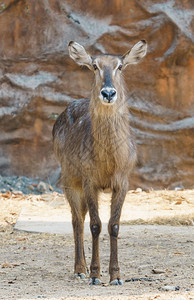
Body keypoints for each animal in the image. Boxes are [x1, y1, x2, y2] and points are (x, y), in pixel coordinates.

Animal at [52, 38, 147, 284]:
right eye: (94, 66)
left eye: (120, 66)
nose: (108, 93)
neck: (108, 162)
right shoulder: (90, 181)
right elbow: (95, 225)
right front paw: (95, 275)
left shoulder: (123, 182)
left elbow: (114, 225)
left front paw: (115, 275)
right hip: (70, 179)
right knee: (77, 220)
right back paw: (80, 269)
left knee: (81, 217)